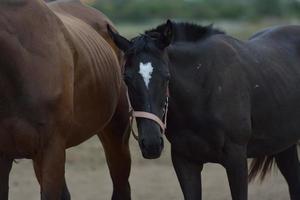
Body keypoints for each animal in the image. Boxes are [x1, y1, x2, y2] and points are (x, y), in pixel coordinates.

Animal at [108, 20, 300, 200]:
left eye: (166, 77)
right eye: (126, 78)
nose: (152, 144)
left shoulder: (236, 159)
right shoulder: (185, 162)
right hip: (283, 145)